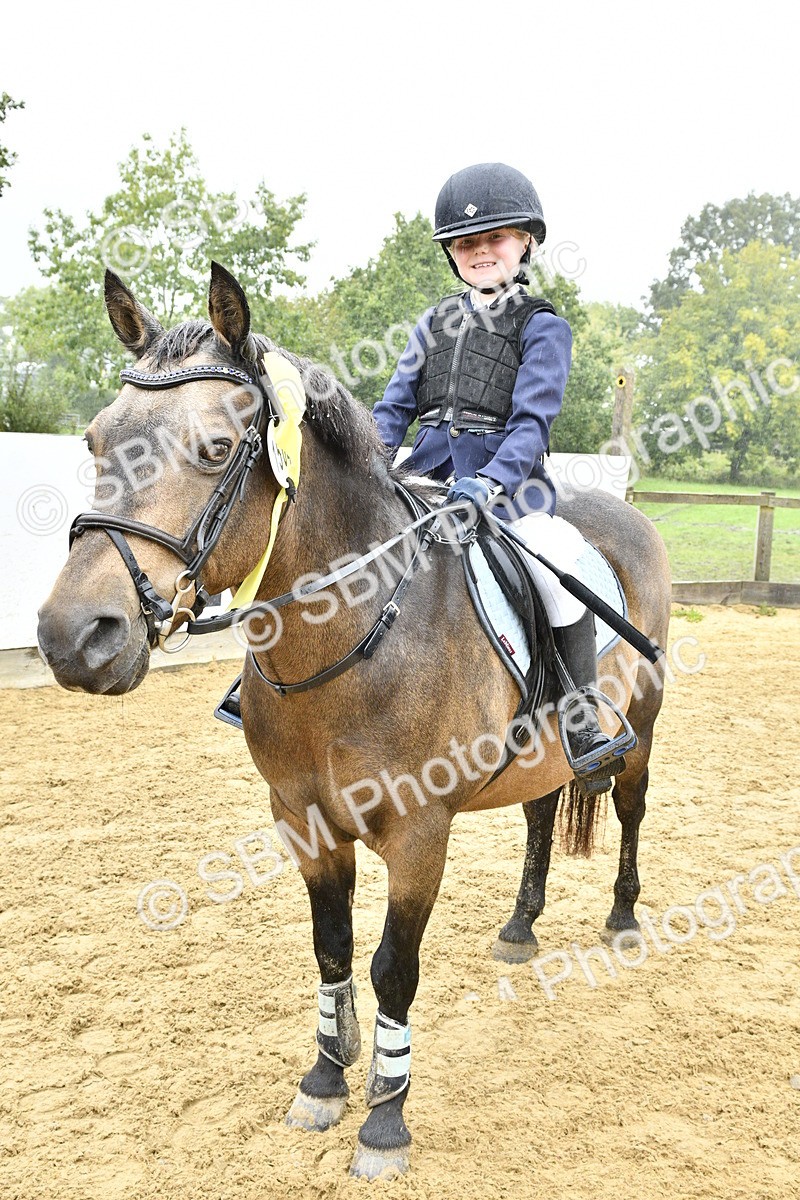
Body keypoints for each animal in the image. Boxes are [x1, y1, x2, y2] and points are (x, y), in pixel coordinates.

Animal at [37, 262, 672, 1179]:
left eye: (217, 448)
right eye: (94, 442)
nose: (74, 636)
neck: (355, 634)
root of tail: (626, 514)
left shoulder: (419, 833)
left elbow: (392, 968)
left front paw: (385, 1118)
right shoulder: (303, 821)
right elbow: (332, 951)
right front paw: (326, 1080)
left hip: (644, 729)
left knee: (628, 806)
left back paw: (622, 917)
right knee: (541, 811)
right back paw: (521, 925)